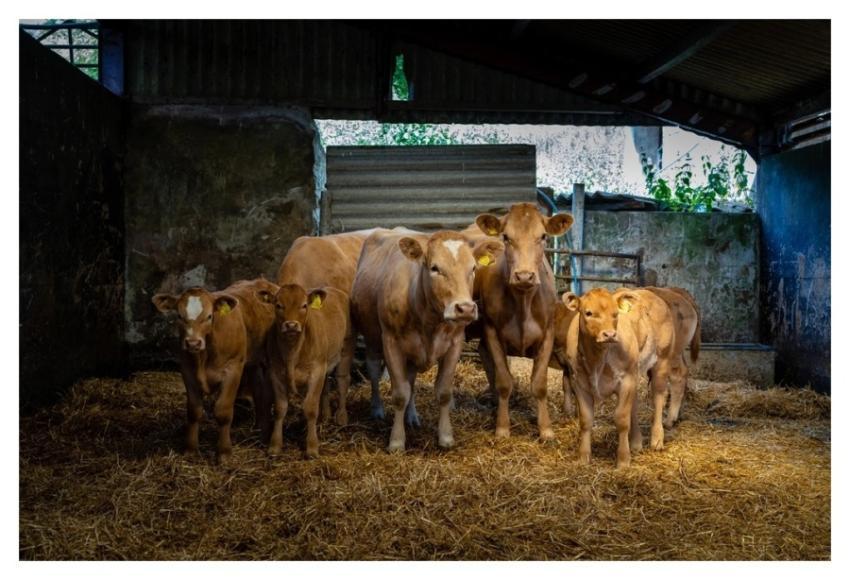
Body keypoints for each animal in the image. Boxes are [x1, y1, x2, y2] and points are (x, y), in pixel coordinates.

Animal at [152, 277, 279, 464]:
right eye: (179, 316)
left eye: (209, 316)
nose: (193, 343)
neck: (204, 357)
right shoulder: (187, 371)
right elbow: (194, 411)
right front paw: (190, 450)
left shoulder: (233, 369)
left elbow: (223, 411)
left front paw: (224, 453)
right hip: (252, 363)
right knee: (258, 392)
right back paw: (258, 428)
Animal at [265, 284, 354, 458]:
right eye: (278, 305)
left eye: (304, 305)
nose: (291, 325)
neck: (292, 352)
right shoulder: (275, 373)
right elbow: (280, 408)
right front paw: (275, 446)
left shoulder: (316, 371)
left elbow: (311, 408)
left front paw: (312, 447)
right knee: (326, 385)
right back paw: (325, 416)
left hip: (346, 347)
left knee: (342, 381)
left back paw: (341, 417)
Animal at [351, 229, 499, 452]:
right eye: (435, 268)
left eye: (473, 268)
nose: (465, 308)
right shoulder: (391, 342)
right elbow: (399, 394)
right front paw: (396, 441)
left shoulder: (454, 344)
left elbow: (443, 392)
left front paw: (445, 436)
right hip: (371, 337)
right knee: (374, 370)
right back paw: (377, 409)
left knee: (411, 381)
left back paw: (411, 416)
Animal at [473, 203, 574, 440]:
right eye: (506, 237)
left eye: (543, 236)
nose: (525, 276)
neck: (523, 303)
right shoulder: (491, 331)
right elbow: (503, 381)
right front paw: (502, 427)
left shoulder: (548, 334)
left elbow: (539, 384)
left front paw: (546, 430)